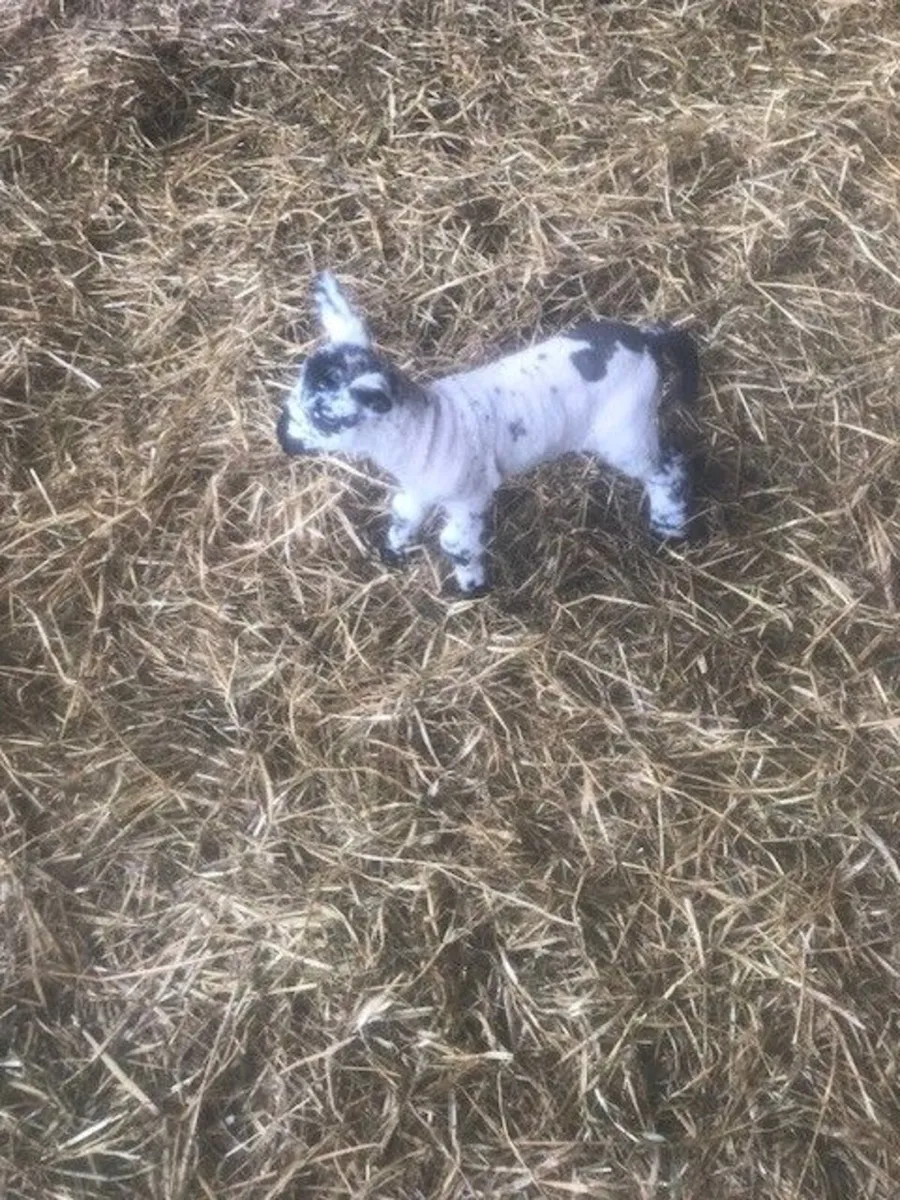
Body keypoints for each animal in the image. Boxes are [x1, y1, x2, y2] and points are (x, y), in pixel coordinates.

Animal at [277, 272, 699, 596]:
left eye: (325, 417)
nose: (283, 437)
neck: (422, 430)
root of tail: (646, 340)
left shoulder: (469, 497)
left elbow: (456, 544)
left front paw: (472, 589)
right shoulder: (419, 487)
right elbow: (402, 514)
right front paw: (392, 553)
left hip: (625, 430)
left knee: (668, 469)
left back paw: (668, 529)